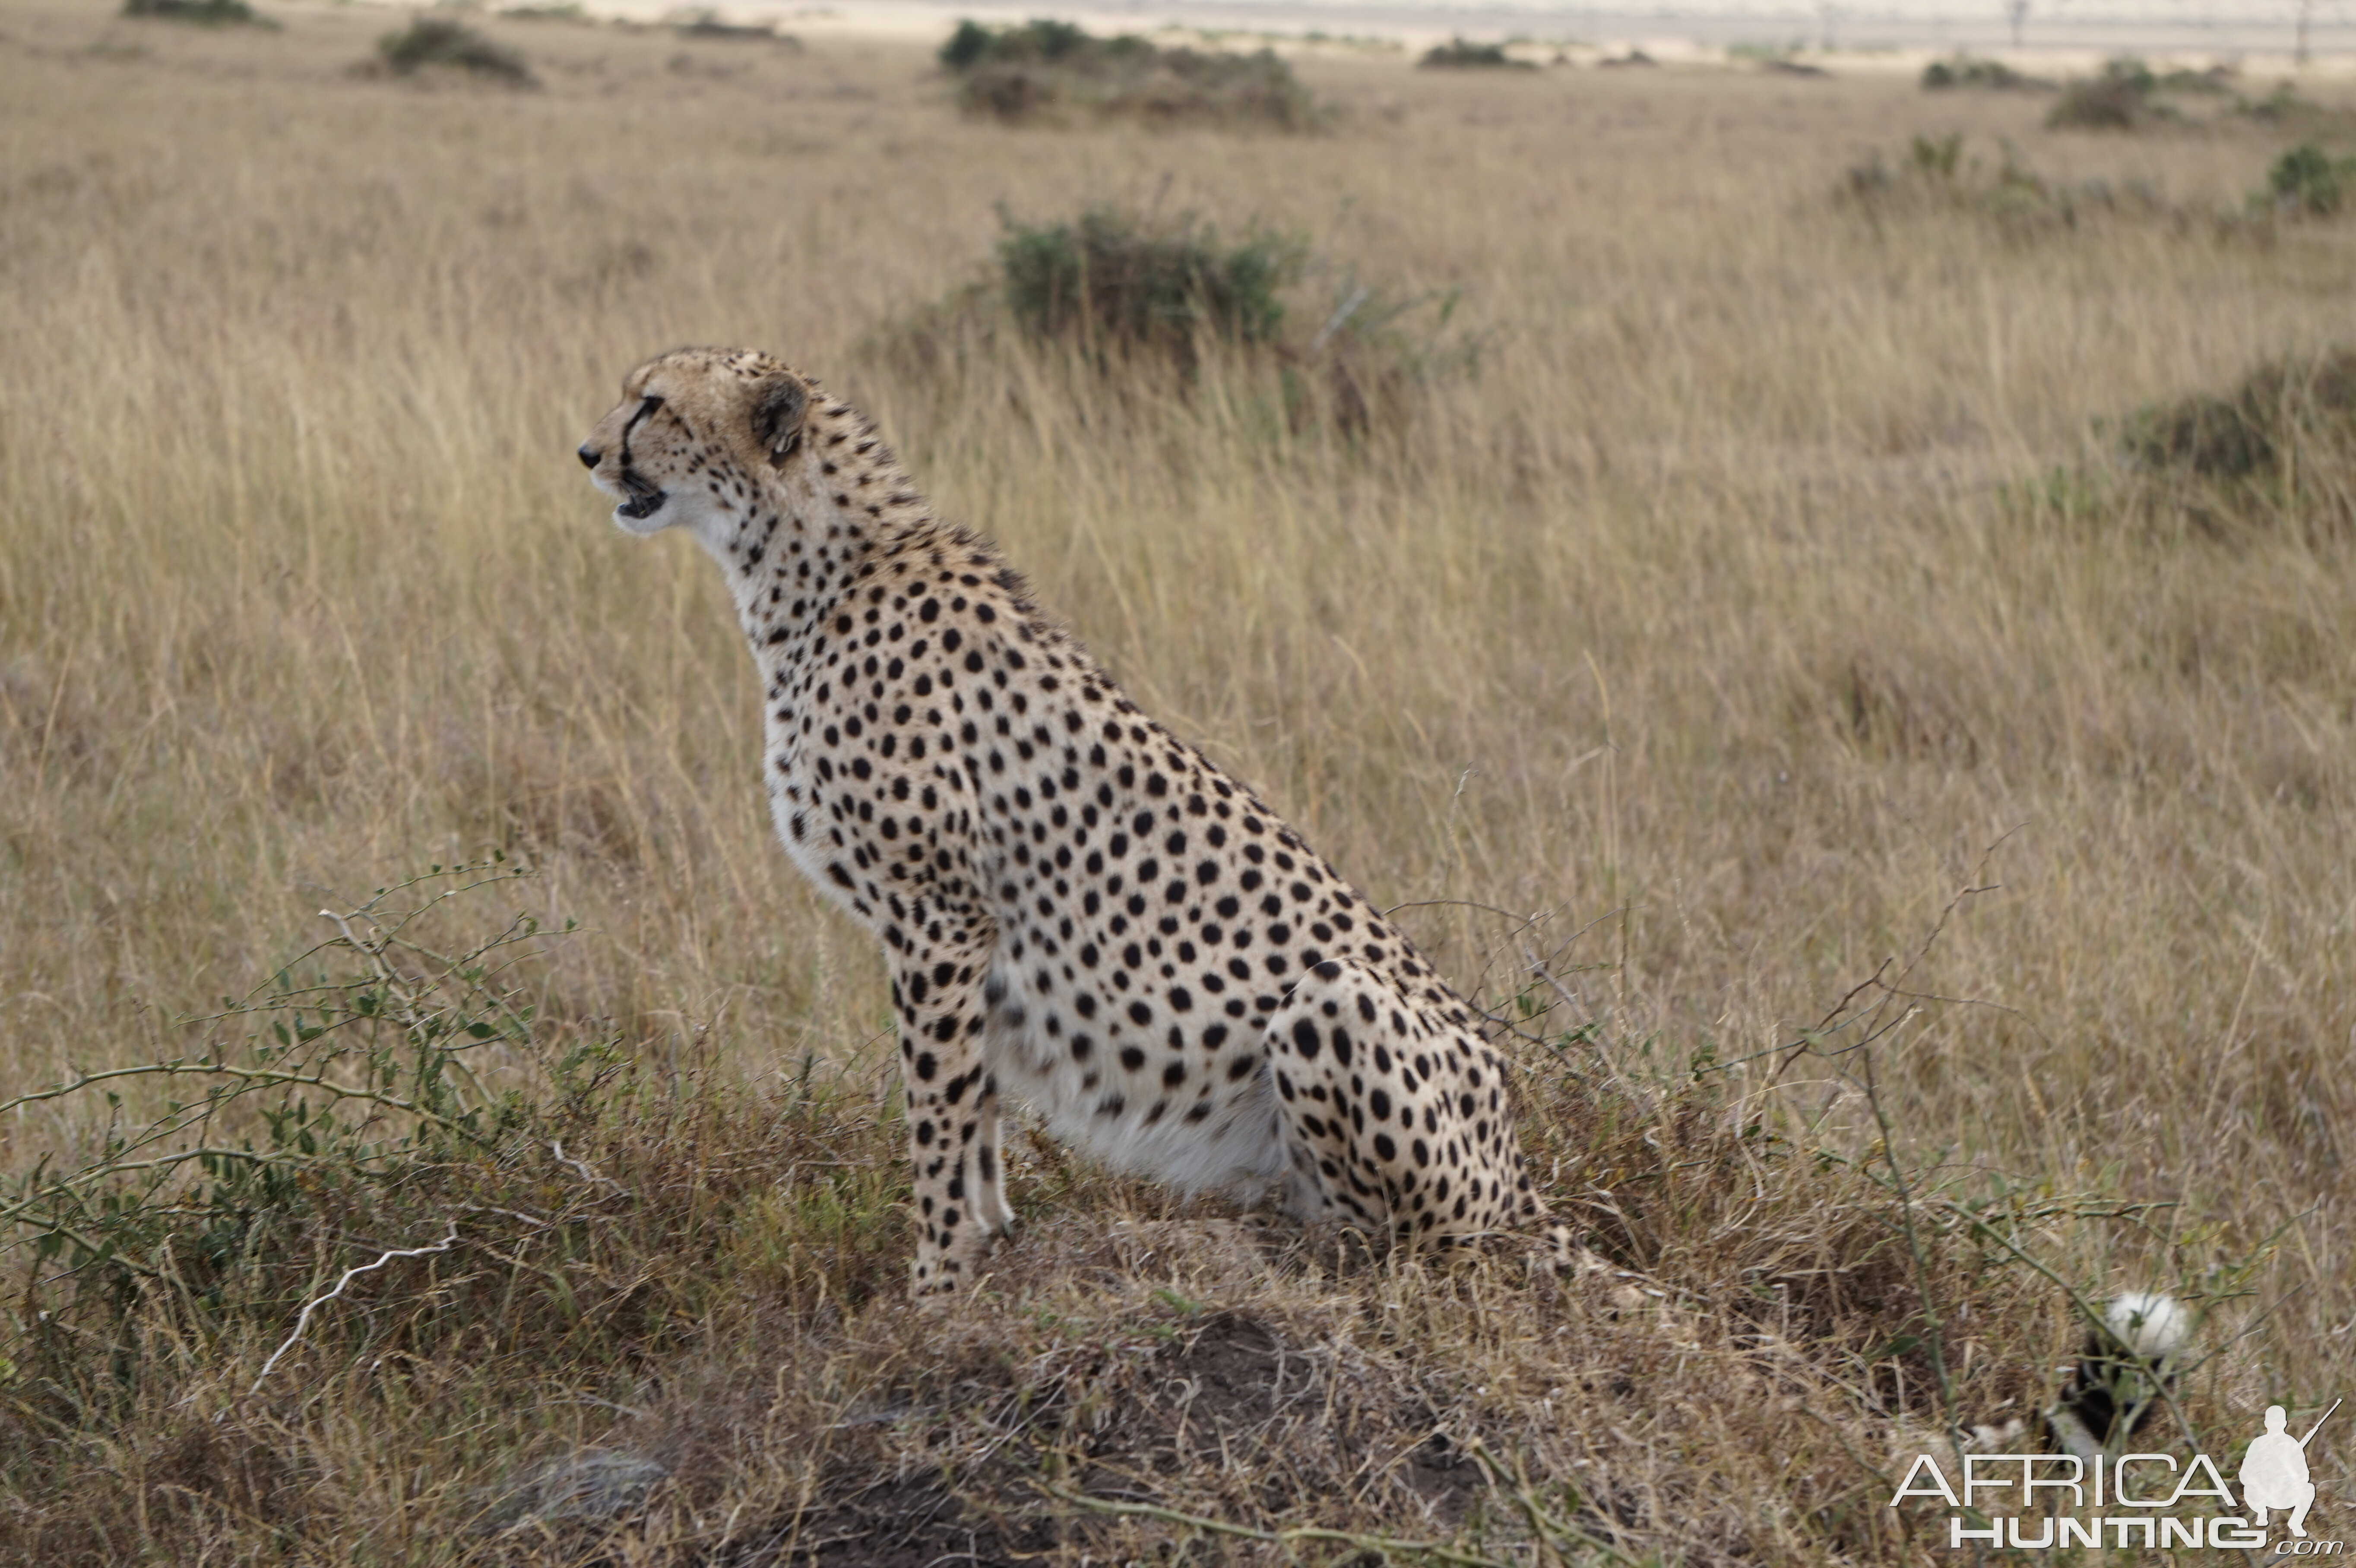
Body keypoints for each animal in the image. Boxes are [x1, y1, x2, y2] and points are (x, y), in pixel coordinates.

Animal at [580, 348, 1574, 1290]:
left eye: (652, 404)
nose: (588, 453)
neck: (819, 568)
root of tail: (1524, 1173)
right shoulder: (963, 936)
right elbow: (974, 1104)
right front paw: (986, 1241)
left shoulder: (937, 914)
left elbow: (937, 1111)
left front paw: (936, 1279)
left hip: (1337, 1001)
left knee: (1423, 1243)